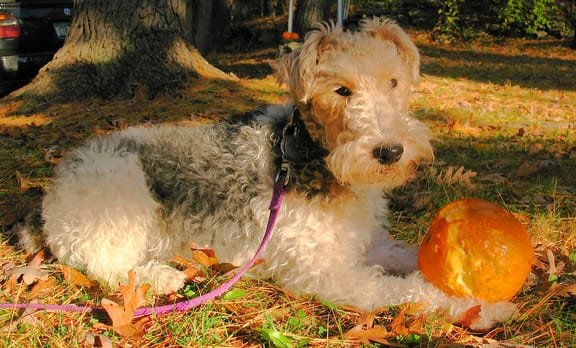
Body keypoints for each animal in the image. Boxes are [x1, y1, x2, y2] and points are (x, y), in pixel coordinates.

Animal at [20, 18, 516, 328]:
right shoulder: (326, 274)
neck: (309, 156)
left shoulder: (363, 244)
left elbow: (409, 258)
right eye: (341, 90)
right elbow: (412, 289)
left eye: (393, 81)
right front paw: (478, 308)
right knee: (102, 262)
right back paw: (162, 276)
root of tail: (51, 195)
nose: (390, 151)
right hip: (121, 190)